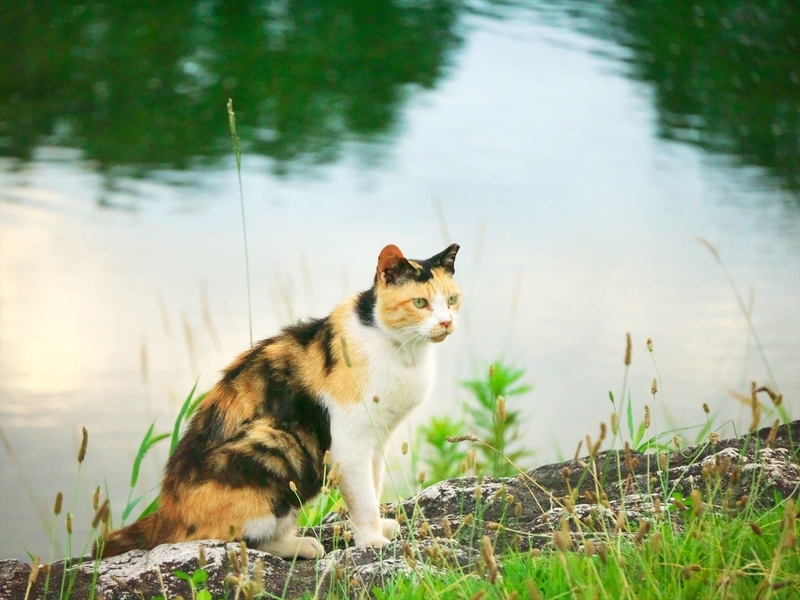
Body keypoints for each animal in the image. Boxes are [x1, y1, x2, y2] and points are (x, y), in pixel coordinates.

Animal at [100, 243, 462, 556]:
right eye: (420, 303)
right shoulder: (350, 443)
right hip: (275, 442)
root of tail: (166, 514)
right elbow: (362, 497)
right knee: (232, 541)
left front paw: (377, 529)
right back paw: (303, 546)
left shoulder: (377, 440)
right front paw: (371, 541)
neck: (403, 351)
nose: (447, 322)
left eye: (452, 299)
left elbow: (372, 487)